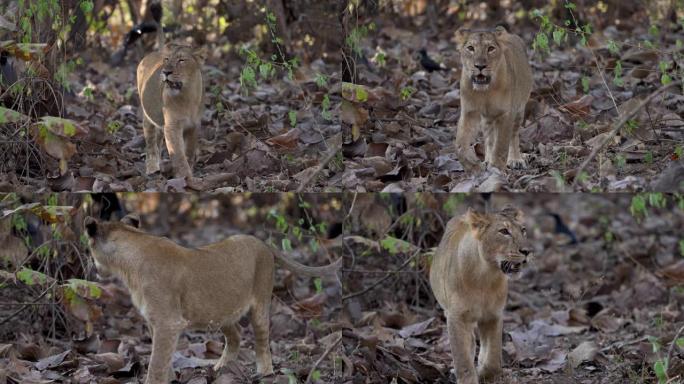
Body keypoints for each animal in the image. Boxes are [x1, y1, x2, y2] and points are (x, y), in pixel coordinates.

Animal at [85, 214, 342, 382]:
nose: (94, 268)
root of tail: (262, 242)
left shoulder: (168, 321)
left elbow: (156, 364)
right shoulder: (155, 321)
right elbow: (164, 358)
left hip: (260, 302)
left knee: (261, 340)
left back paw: (264, 373)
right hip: (221, 311)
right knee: (236, 335)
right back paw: (220, 369)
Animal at [137, 42, 206, 180]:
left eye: (181, 60)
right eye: (167, 59)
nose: (166, 72)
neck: (187, 97)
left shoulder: (194, 126)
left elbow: (189, 151)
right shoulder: (172, 126)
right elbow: (178, 153)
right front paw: (185, 177)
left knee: (157, 142)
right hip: (147, 118)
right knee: (151, 144)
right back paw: (152, 168)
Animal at [430, 207, 532, 384]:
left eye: (523, 230)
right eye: (504, 231)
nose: (526, 251)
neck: (486, 277)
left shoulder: (493, 315)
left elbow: (493, 355)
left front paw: (485, 373)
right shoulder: (456, 317)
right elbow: (462, 356)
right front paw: (468, 378)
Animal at [454, 26, 536, 172]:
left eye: (491, 48)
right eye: (470, 48)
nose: (480, 66)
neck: (485, 92)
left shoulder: (506, 114)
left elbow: (501, 145)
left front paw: (497, 168)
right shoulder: (469, 113)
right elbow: (460, 145)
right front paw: (472, 165)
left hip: (519, 111)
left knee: (513, 136)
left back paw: (515, 159)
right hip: (487, 119)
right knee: (489, 140)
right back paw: (487, 160)